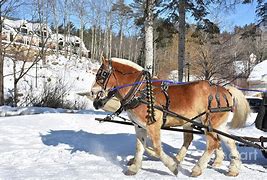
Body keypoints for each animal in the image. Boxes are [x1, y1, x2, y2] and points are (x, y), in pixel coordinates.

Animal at [91, 58, 251, 177]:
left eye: (102, 74)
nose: (92, 92)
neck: (140, 90)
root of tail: (225, 90)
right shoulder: (139, 126)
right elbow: (139, 147)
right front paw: (134, 167)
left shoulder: (153, 126)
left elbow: (156, 148)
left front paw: (172, 166)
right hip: (217, 125)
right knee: (229, 141)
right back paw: (233, 168)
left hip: (209, 124)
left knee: (213, 143)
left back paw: (197, 168)